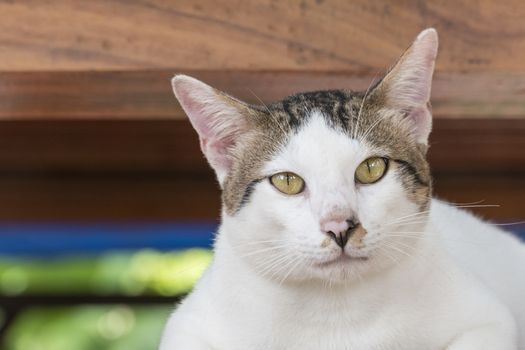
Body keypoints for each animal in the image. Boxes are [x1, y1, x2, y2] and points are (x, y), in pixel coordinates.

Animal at [159, 28, 524, 348]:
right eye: (287, 181)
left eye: (371, 169)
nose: (339, 227)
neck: (335, 307)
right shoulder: (186, 328)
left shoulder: (489, 321)